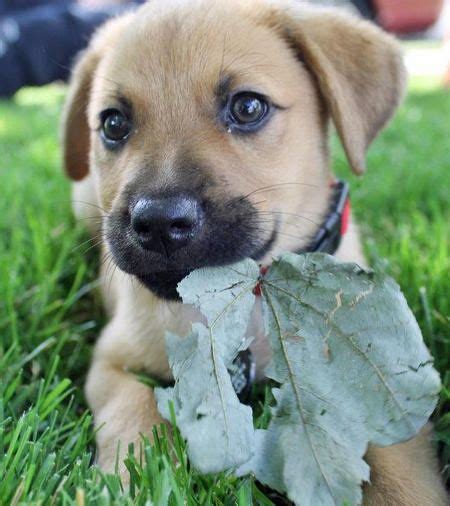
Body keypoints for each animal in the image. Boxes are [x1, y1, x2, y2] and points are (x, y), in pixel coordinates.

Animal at [61, 0, 448, 502]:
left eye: (247, 107)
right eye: (112, 123)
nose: (160, 223)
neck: (246, 298)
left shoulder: (387, 380)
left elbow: (401, 464)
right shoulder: (110, 360)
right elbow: (131, 411)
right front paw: (132, 479)